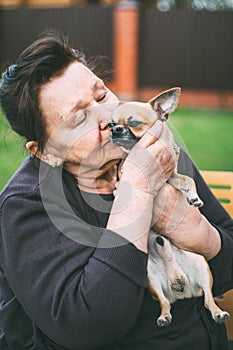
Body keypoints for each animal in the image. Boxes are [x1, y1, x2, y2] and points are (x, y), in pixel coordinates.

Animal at [108, 88, 230, 328]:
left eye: (133, 123)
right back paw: (164, 317)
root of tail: (183, 287)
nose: (115, 130)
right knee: (166, 304)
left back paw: (218, 312)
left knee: (208, 299)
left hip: (202, 265)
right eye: (111, 123)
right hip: (151, 279)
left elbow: (186, 180)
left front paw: (194, 197)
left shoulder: (171, 176)